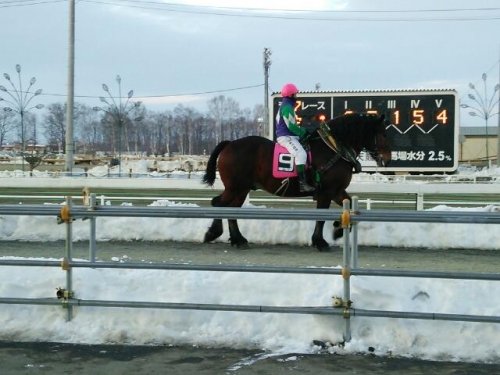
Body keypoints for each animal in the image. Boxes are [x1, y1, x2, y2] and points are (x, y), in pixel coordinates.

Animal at [201, 113, 388, 251]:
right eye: (382, 134)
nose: (387, 158)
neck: (332, 148)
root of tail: (230, 144)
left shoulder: (336, 190)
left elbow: (348, 205)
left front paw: (338, 229)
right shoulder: (326, 191)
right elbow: (321, 217)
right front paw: (320, 241)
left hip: (242, 189)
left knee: (231, 209)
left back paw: (238, 239)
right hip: (235, 187)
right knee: (219, 203)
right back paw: (214, 233)